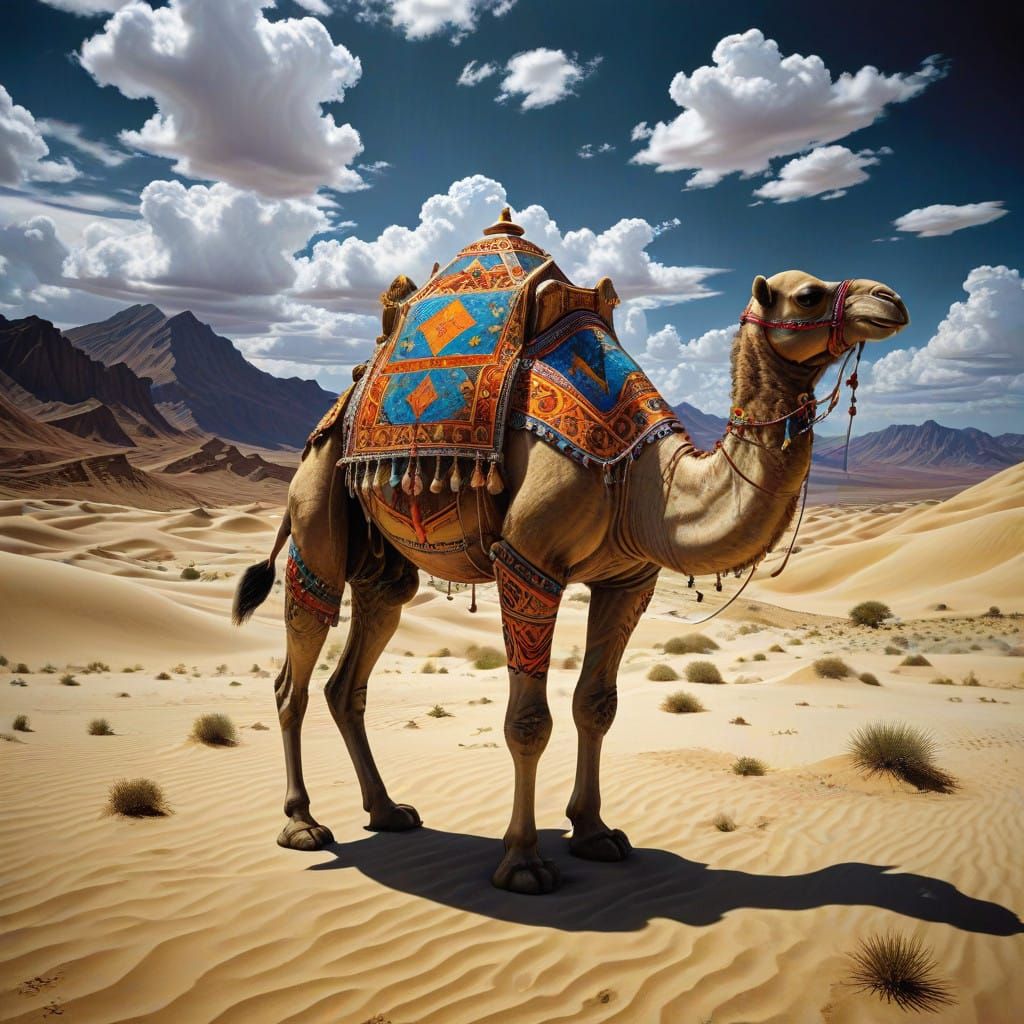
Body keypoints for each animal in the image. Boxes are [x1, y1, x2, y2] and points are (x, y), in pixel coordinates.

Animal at [233, 215, 909, 895]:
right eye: (809, 295)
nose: (891, 300)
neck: (645, 481)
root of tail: (340, 406)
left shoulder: (628, 578)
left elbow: (596, 706)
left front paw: (595, 833)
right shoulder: (529, 563)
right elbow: (529, 723)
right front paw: (523, 861)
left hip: (385, 564)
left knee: (353, 670)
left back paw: (388, 810)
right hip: (318, 503)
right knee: (294, 671)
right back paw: (302, 824)